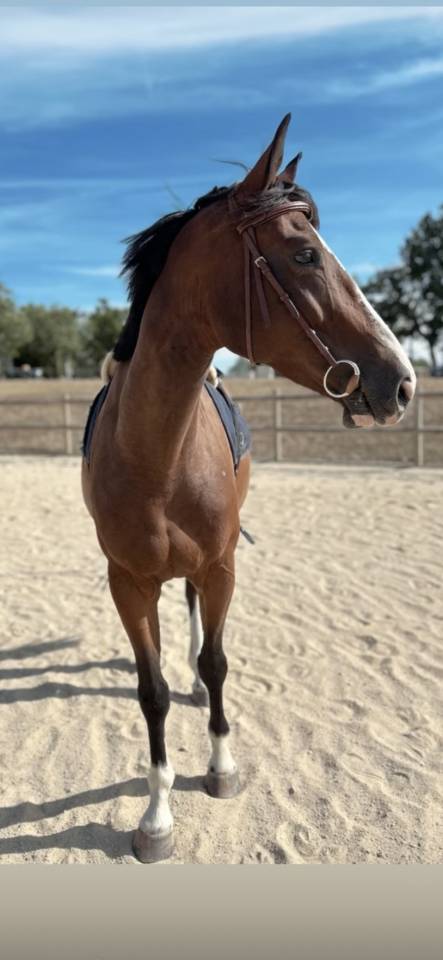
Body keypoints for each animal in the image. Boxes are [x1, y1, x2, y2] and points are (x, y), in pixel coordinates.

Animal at [81, 114, 415, 863]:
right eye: (303, 255)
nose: (405, 380)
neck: (156, 457)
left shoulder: (223, 567)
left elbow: (217, 663)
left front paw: (221, 766)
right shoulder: (127, 583)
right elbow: (149, 692)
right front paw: (156, 817)